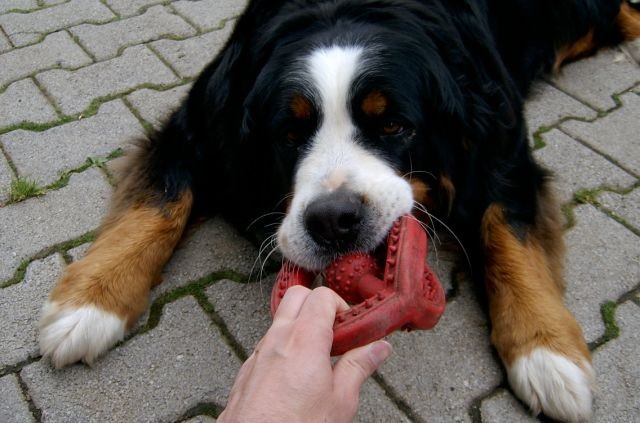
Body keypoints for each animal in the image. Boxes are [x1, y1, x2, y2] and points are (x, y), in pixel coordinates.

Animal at [37, 1, 636, 422]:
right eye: (289, 133)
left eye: (393, 125)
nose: (333, 220)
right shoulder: (198, 122)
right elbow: (158, 202)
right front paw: (89, 302)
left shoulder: (502, 143)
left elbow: (510, 234)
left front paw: (547, 353)